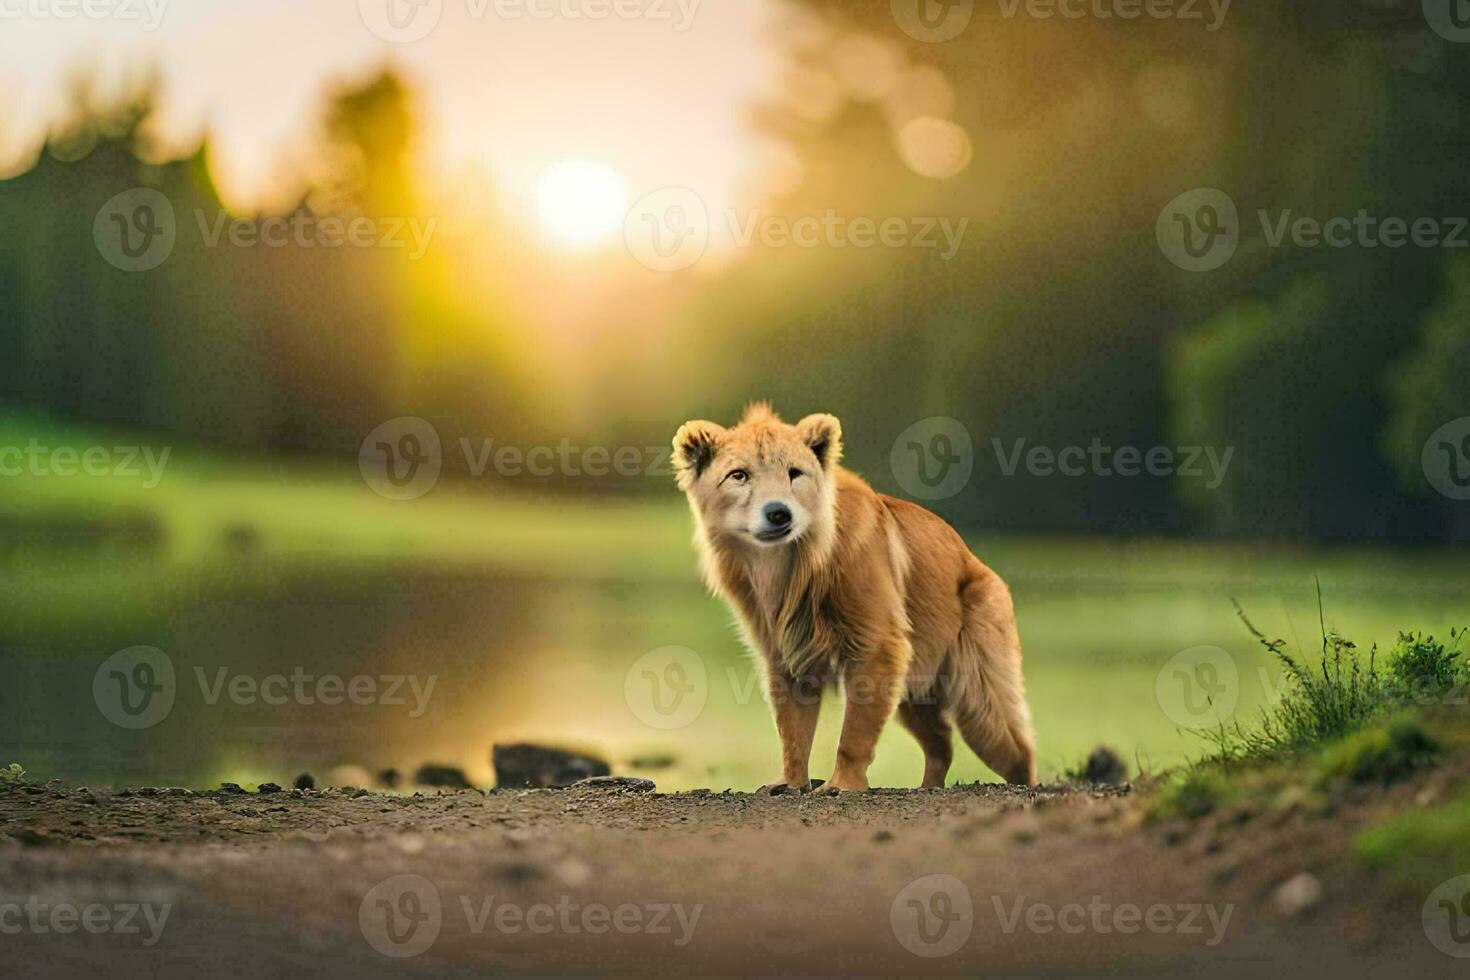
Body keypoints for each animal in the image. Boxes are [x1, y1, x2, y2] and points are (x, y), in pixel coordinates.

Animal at [673, 402, 1034, 793]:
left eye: (795, 473)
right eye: (739, 475)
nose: (779, 512)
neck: (786, 565)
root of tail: (980, 565)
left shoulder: (875, 644)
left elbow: (854, 732)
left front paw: (841, 785)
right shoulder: (785, 651)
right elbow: (792, 731)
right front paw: (789, 783)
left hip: (978, 693)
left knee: (1015, 748)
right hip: (916, 688)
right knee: (941, 740)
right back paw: (928, 786)